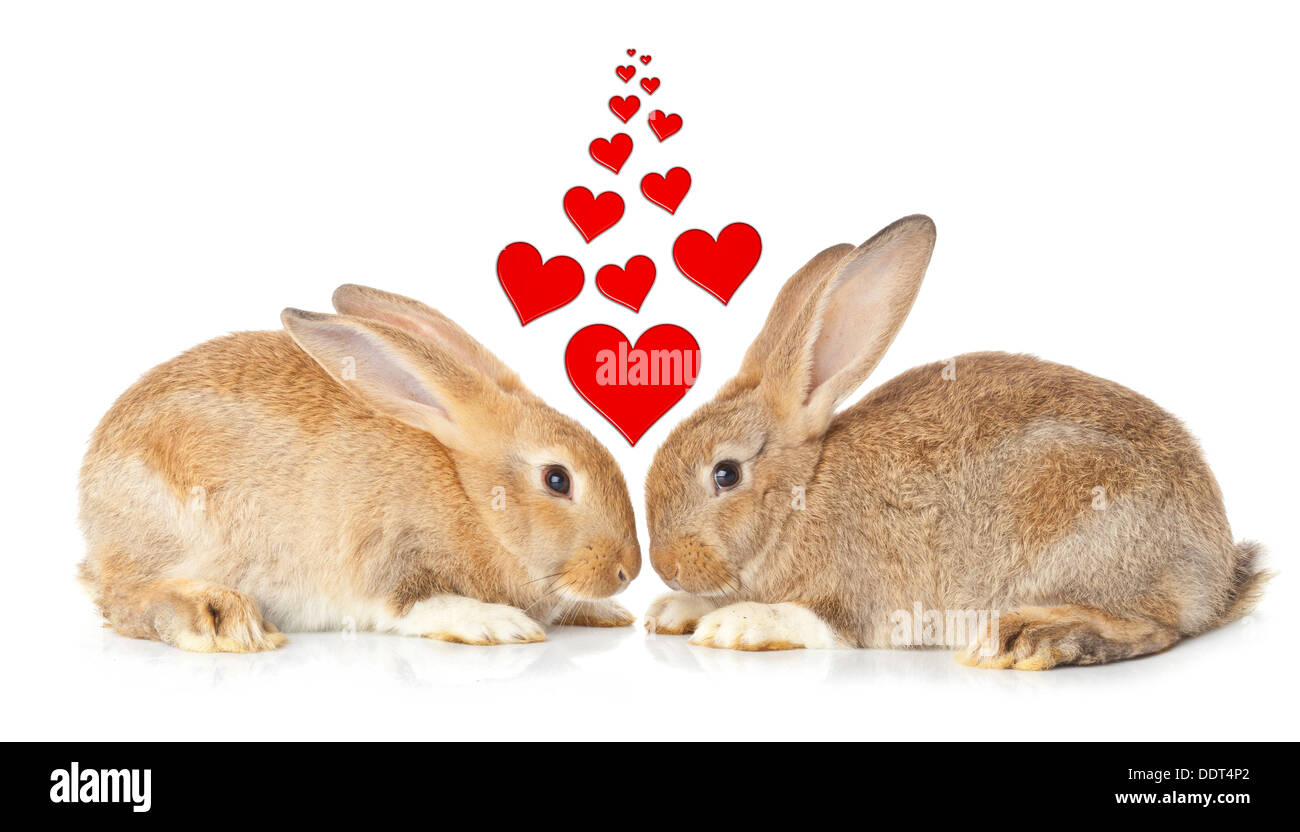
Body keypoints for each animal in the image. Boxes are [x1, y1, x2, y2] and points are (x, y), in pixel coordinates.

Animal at [78, 284, 641, 652]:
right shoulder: (391, 559)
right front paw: (501, 623)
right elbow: (418, 606)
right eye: (557, 479)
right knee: (124, 599)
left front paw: (608, 613)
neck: (474, 500)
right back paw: (222, 620)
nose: (627, 572)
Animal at [643, 215, 1268, 669]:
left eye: (726, 474)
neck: (801, 494)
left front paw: (734, 624)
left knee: (1154, 627)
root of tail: (1216, 576)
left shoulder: (857, 598)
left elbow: (816, 623)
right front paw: (672, 610)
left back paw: (1027, 639)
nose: (664, 565)